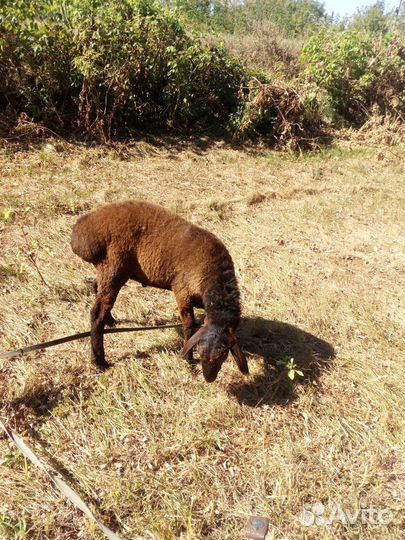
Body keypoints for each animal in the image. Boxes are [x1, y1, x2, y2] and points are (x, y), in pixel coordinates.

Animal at [71, 200, 248, 382]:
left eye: (223, 355)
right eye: (201, 352)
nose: (209, 379)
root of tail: (82, 228)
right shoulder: (182, 291)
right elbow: (189, 326)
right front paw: (189, 360)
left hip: (109, 270)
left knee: (96, 288)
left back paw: (110, 322)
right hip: (114, 267)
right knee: (97, 313)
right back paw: (99, 361)